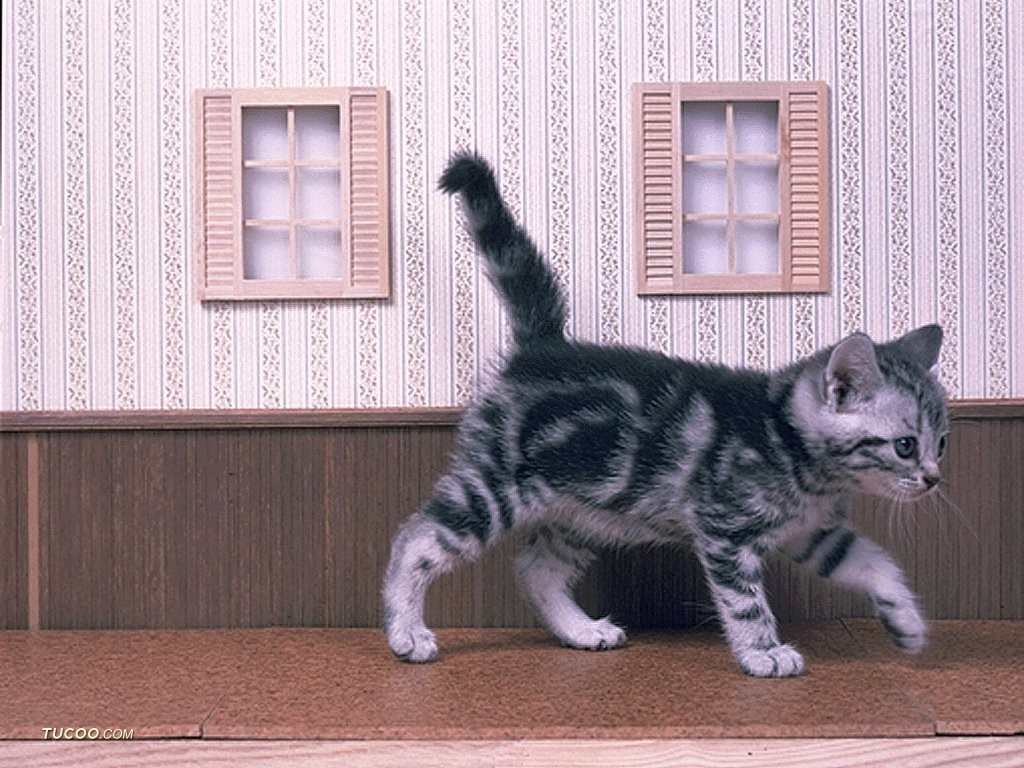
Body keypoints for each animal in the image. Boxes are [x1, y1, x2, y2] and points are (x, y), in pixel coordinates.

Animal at [382, 152, 949, 678]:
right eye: (905, 445)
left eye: (941, 443)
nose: (933, 479)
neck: (789, 442)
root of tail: (542, 348)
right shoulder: (725, 532)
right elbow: (745, 604)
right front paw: (763, 652)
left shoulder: (813, 535)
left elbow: (877, 562)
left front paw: (905, 619)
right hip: (498, 486)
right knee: (416, 539)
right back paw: (406, 631)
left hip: (586, 505)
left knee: (535, 568)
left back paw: (580, 630)